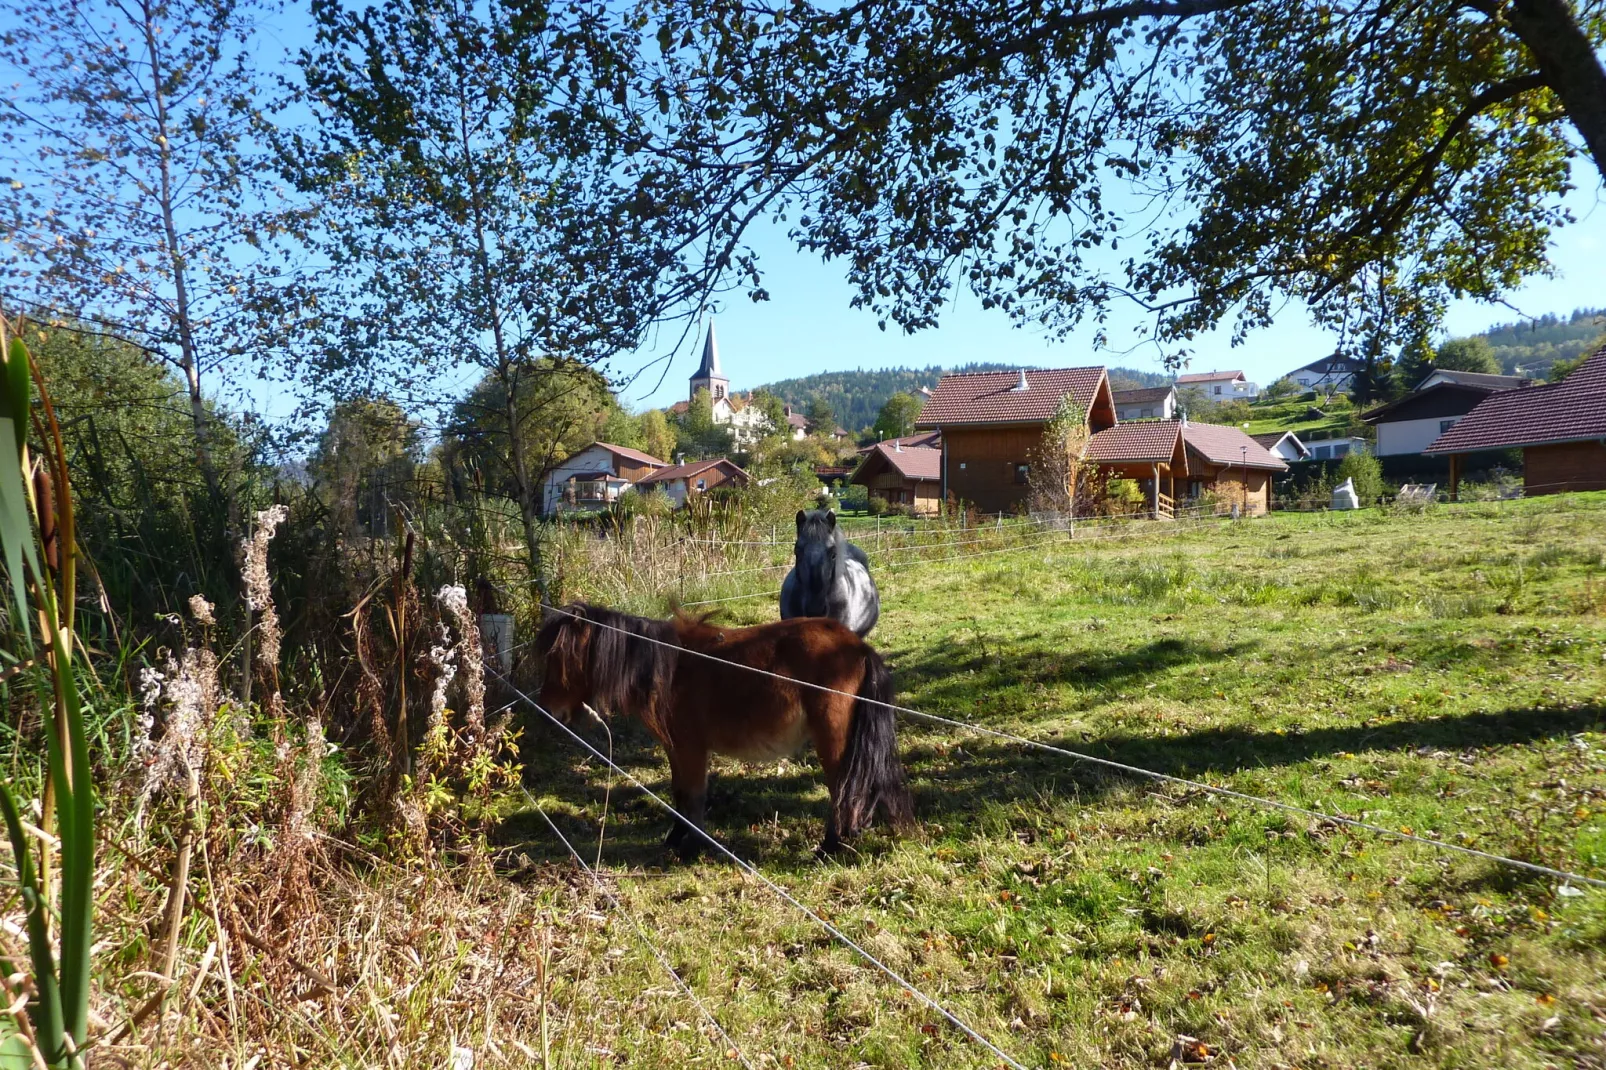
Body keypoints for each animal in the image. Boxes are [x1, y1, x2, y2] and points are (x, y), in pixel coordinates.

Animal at [539, 600, 912, 861]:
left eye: (559, 657)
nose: (550, 711)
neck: (667, 667)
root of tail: (857, 647)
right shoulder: (676, 748)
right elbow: (680, 793)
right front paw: (676, 839)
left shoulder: (690, 748)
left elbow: (693, 795)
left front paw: (691, 847)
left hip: (831, 739)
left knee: (841, 787)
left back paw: (829, 848)